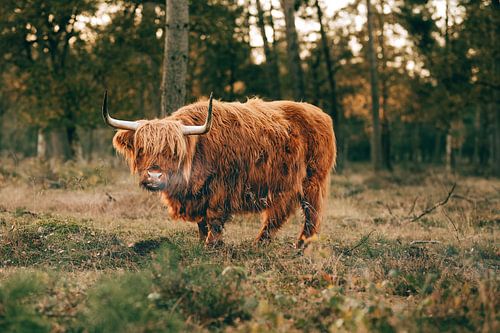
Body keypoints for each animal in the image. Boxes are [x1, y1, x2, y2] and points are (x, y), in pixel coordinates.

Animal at [101, 91, 336, 246]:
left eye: (174, 151)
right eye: (142, 149)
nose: (154, 176)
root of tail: (320, 113)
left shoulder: (221, 188)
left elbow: (213, 218)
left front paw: (211, 245)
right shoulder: (197, 196)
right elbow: (201, 222)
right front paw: (201, 242)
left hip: (313, 181)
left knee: (311, 214)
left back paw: (300, 247)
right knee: (278, 214)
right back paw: (260, 244)